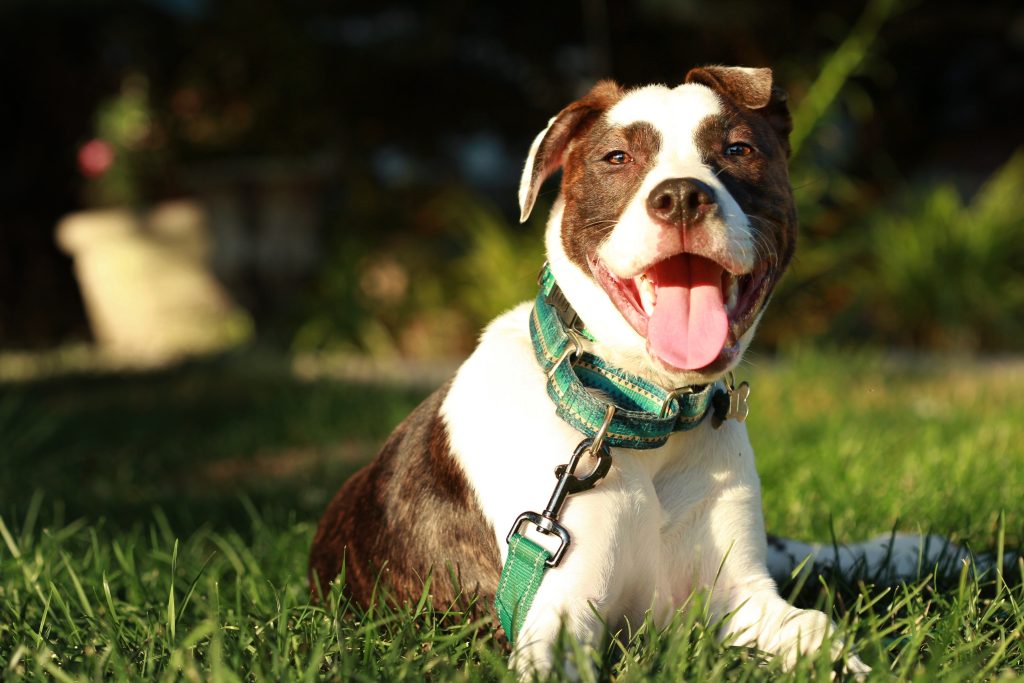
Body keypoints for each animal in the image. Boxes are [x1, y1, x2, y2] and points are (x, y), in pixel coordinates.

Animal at [309, 66, 942, 675]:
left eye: (738, 148)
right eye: (617, 158)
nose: (682, 196)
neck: (637, 410)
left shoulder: (743, 598)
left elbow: (816, 631)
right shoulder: (556, 619)